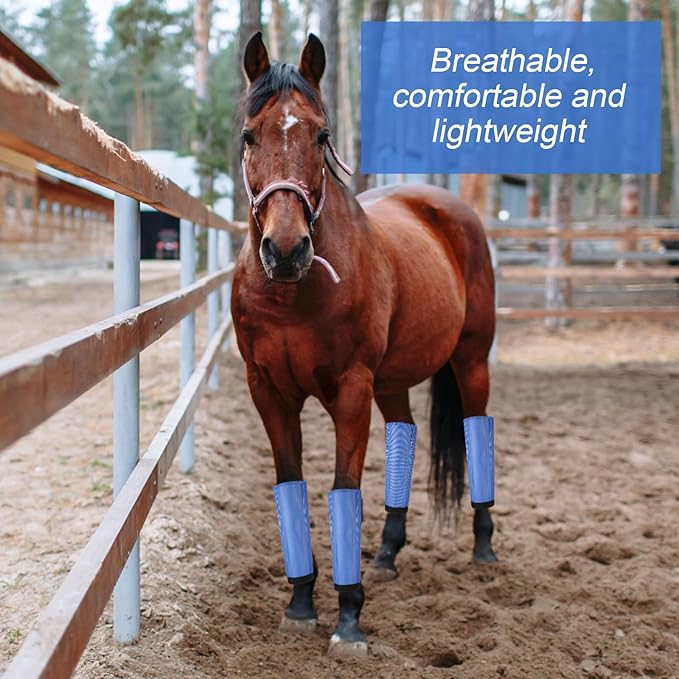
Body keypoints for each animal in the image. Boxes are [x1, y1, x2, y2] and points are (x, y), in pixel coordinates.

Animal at [231, 32, 497, 656]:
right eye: (249, 135)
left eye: (321, 135)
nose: (285, 250)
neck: (292, 293)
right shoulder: (269, 393)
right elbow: (292, 486)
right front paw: (301, 603)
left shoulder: (350, 391)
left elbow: (342, 489)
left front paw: (348, 616)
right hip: (393, 381)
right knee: (405, 431)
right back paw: (387, 553)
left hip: (471, 360)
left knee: (476, 428)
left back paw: (483, 544)